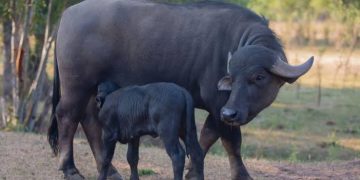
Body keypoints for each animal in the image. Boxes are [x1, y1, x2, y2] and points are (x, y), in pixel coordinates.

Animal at [47, 0, 312, 179]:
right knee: (67, 116)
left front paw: (191, 171)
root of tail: (68, 13)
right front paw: (241, 175)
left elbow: (205, 137)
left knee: (90, 120)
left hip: (95, 89)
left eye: (258, 76)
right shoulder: (219, 104)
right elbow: (231, 141)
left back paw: (110, 170)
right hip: (76, 85)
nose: (231, 113)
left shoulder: (218, 109)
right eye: (232, 77)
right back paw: (69, 169)